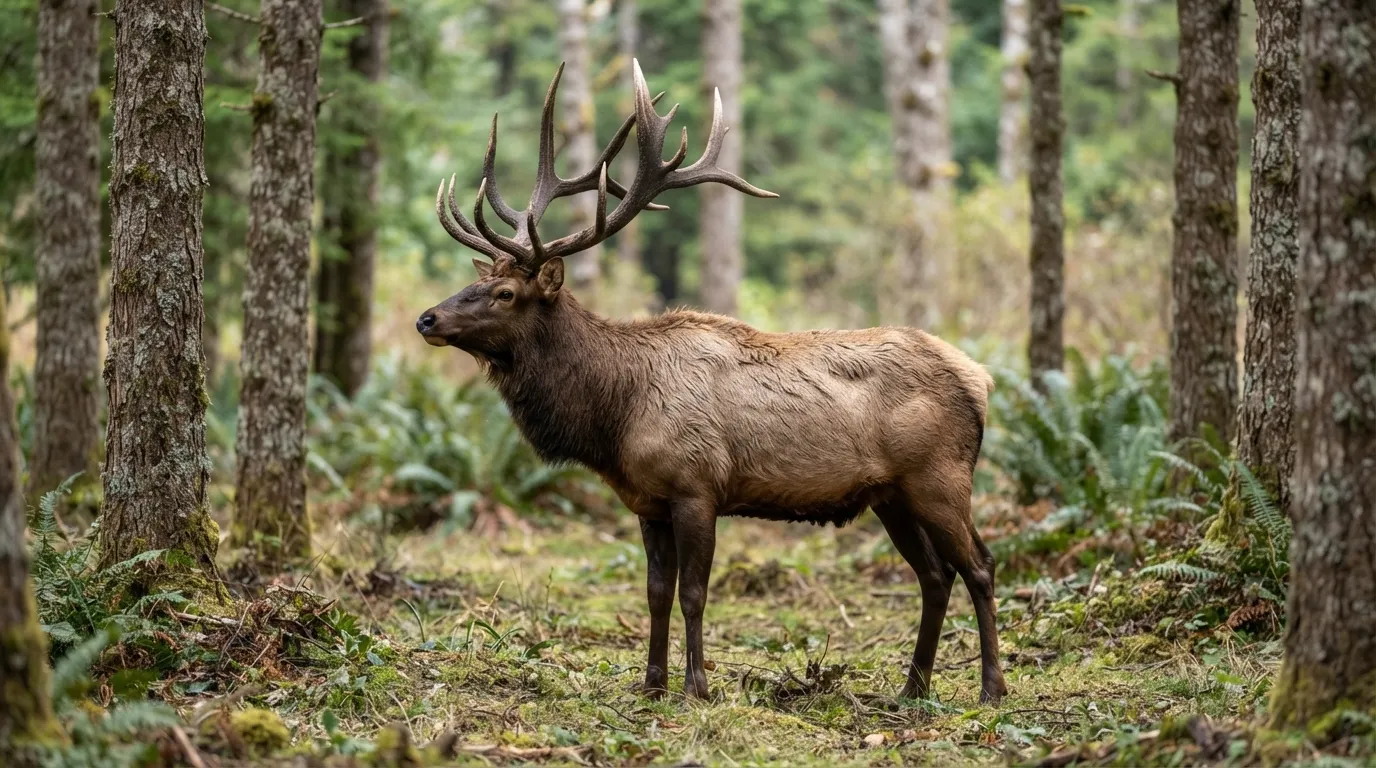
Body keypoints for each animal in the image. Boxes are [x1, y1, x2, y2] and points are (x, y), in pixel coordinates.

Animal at [416, 60, 1008, 705]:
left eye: (505, 293)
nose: (427, 318)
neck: (613, 415)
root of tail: (980, 378)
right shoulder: (647, 502)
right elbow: (655, 594)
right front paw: (651, 684)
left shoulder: (697, 486)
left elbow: (694, 594)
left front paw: (697, 687)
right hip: (891, 494)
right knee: (934, 573)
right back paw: (913, 687)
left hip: (939, 476)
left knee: (980, 565)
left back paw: (991, 689)